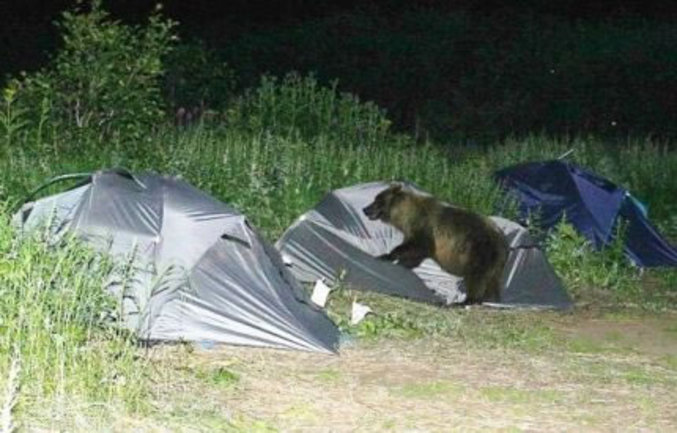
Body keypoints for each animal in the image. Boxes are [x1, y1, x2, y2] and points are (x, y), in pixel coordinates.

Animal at [364, 182, 508, 304]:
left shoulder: (424, 227)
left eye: (378, 200)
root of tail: (503, 240)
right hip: (494, 263)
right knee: (491, 281)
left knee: (477, 277)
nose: (365, 209)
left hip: (479, 251)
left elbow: (416, 246)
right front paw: (403, 263)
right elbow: (417, 253)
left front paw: (387, 256)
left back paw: (467, 301)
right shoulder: (414, 232)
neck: (407, 216)